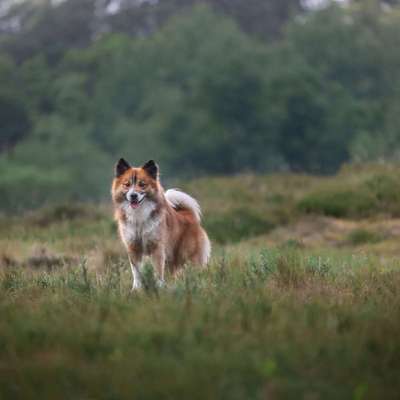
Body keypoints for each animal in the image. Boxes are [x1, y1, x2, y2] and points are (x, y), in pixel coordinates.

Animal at [109, 158, 209, 290]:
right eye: (127, 184)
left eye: (142, 184)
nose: (133, 195)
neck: (139, 218)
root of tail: (188, 215)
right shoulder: (133, 248)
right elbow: (136, 272)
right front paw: (136, 289)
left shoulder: (157, 247)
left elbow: (157, 270)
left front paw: (159, 287)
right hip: (172, 260)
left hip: (189, 256)